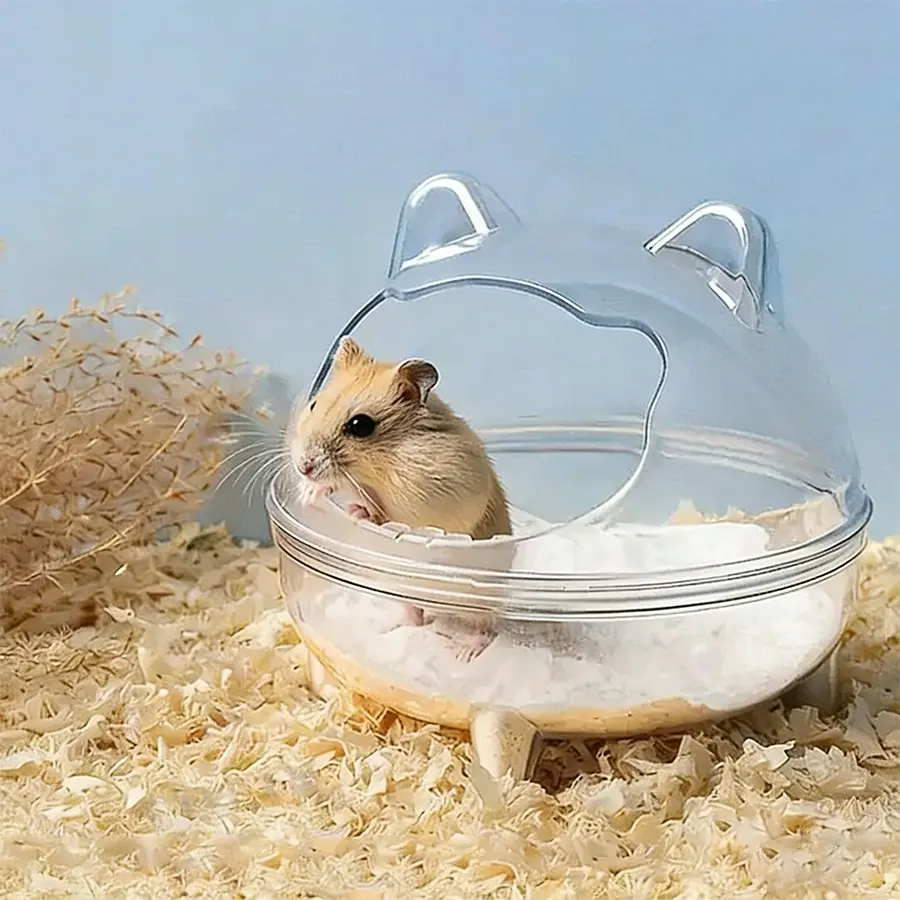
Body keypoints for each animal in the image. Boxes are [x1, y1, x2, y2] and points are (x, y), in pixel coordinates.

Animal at [290, 336, 511, 660]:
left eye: (360, 425)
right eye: (314, 404)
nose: (302, 466)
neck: (380, 465)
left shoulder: (433, 496)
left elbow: (382, 512)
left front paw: (357, 510)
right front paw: (308, 492)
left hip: (474, 602)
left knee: (485, 628)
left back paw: (463, 652)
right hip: (400, 589)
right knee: (414, 615)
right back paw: (389, 629)